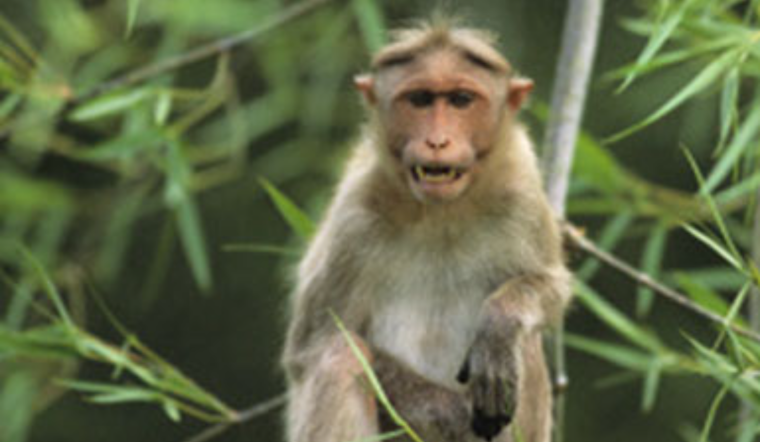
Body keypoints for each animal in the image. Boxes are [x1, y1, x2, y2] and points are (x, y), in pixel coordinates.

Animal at [281, 18, 572, 442]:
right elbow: (311, 346)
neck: (441, 214)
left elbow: (551, 288)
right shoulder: (354, 218)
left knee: (527, 342)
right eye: (419, 100)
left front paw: (500, 324)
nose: (438, 141)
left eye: (461, 100)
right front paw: (450, 414)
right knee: (338, 355)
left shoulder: (522, 198)